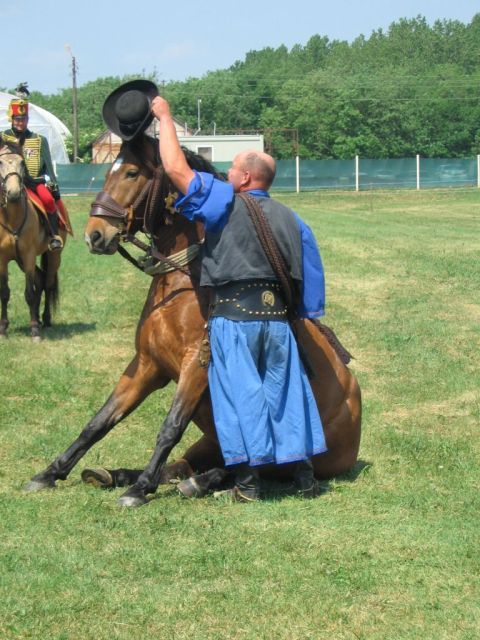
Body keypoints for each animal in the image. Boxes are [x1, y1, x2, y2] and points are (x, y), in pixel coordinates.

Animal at [0, 142, 67, 340]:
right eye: (0, 163)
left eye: (22, 163)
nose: (13, 193)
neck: (11, 218)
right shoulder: (3, 260)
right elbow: (4, 293)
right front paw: (3, 328)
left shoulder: (28, 256)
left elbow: (29, 293)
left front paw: (34, 330)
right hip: (21, 261)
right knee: (41, 279)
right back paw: (36, 316)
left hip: (53, 256)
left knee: (47, 283)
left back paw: (44, 319)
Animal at [26, 134, 361, 507]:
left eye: (131, 173)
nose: (94, 235)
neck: (184, 283)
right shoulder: (147, 365)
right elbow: (100, 421)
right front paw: (51, 472)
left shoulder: (195, 367)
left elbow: (170, 426)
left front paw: (140, 490)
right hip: (209, 443)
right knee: (183, 465)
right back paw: (115, 474)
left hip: (272, 457)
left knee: (240, 469)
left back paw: (192, 483)